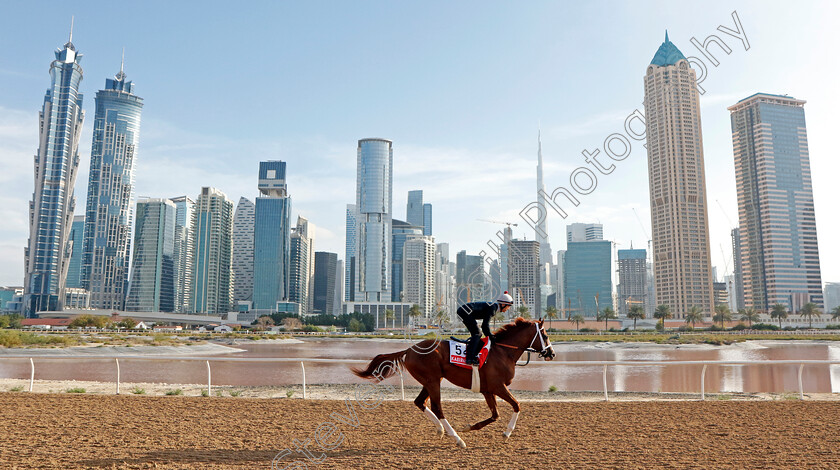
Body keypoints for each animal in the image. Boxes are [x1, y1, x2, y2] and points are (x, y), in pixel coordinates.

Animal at [352, 318, 556, 446]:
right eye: (545, 335)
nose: (552, 353)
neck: (503, 352)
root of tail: (409, 350)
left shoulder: (487, 390)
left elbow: (495, 415)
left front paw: (470, 427)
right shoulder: (498, 386)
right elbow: (516, 405)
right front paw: (507, 433)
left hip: (431, 381)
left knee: (419, 402)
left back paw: (441, 430)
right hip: (433, 381)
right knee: (437, 408)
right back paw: (457, 439)